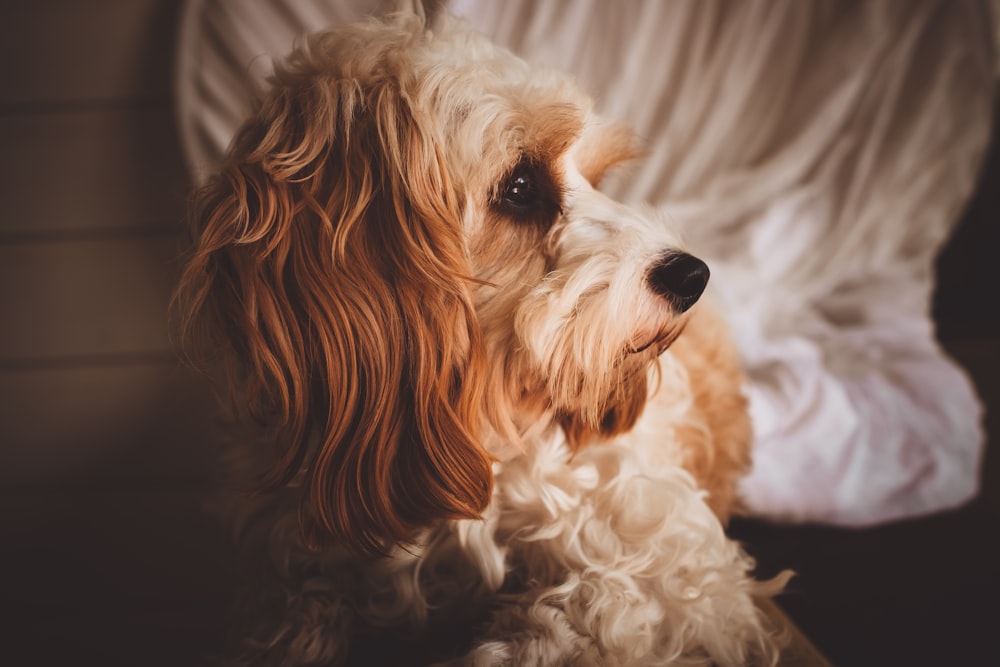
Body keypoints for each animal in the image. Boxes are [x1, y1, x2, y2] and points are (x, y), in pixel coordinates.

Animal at [178, 5, 788, 667]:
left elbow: (578, 619)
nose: (692, 275)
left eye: (595, 178)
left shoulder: (674, 567)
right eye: (519, 187)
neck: (479, 412)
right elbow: (290, 618)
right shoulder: (286, 554)